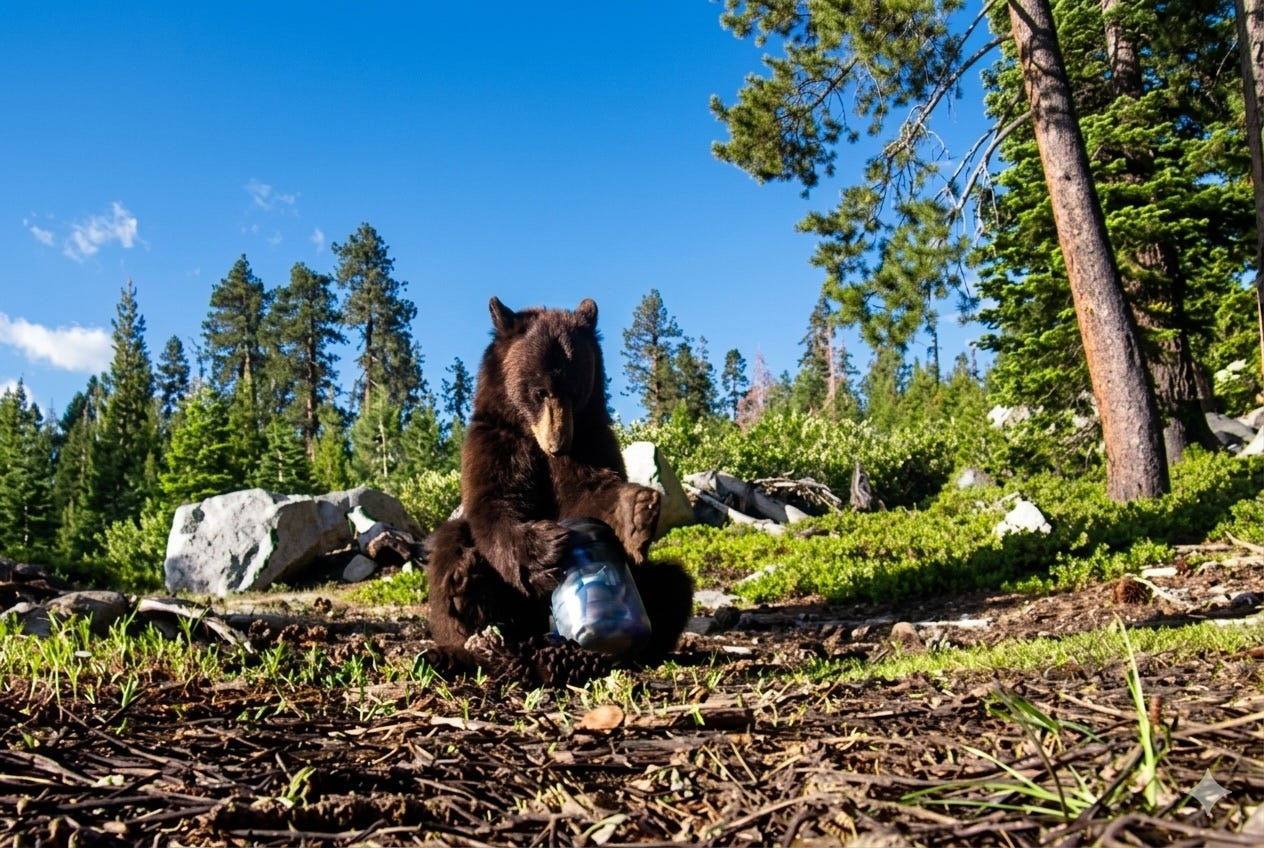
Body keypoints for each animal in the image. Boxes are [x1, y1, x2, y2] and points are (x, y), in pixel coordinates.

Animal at [424, 296, 693, 685]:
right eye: (539, 391)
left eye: (575, 391)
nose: (558, 444)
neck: (534, 443)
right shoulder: (497, 442)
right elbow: (495, 506)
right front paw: (543, 551)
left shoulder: (590, 439)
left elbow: (588, 493)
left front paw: (637, 512)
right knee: (453, 541)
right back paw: (463, 599)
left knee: (671, 584)